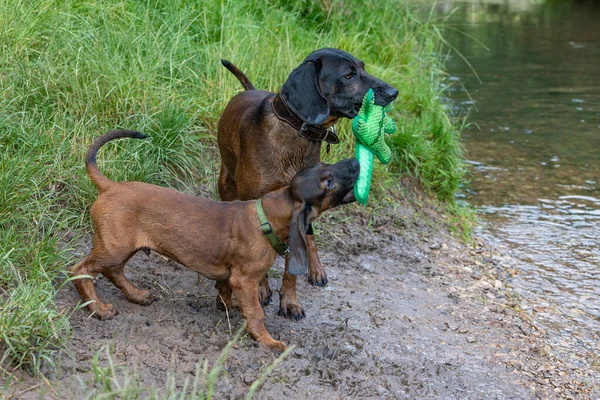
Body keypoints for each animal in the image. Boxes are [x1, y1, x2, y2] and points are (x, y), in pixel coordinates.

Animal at [71, 130, 360, 350]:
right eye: (327, 183)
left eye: (323, 166)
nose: (357, 162)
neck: (265, 216)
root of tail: (109, 186)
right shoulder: (245, 280)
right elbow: (256, 313)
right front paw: (268, 341)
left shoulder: (230, 276)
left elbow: (224, 291)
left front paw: (228, 307)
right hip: (114, 248)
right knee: (80, 271)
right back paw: (98, 309)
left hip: (121, 247)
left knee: (113, 272)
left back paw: (137, 295)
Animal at [217, 47, 398, 318]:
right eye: (348, 75)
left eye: (363, 67)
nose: (394, 92)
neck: (296, 131)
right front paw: (261, 288)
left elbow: (295, 260)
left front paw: (290, 300)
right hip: (225, 184)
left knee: (310, 237)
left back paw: (316, 268)